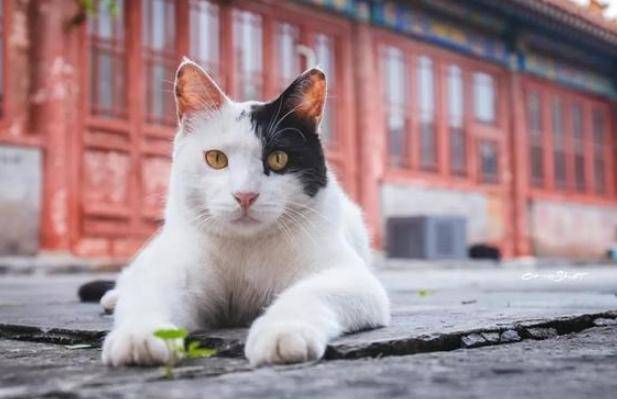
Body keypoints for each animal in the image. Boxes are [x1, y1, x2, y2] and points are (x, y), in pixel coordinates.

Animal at [101, 57, 390, 368]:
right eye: (216, 158)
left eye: (278, 158)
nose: (245, 195)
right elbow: (150, 292)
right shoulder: (176, 267)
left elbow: (309, 292)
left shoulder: (351, 277)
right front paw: (139, 336)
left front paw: (283, 332)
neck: (246, 248)